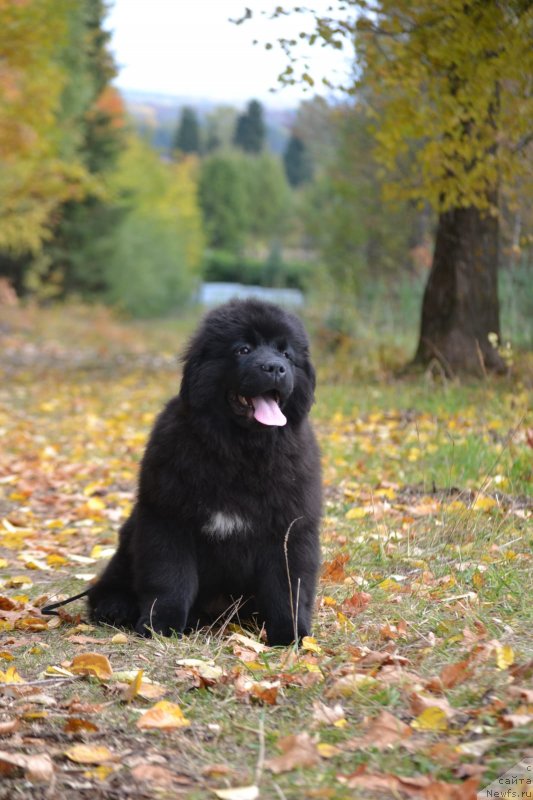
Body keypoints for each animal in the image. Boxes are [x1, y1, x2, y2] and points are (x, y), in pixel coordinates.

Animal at [66, 298, 322, 644]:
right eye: (243, 349)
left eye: (286, 354)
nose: (275, 367)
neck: (240, 452)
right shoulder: (168, 520)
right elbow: (170, 579)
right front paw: (161, 626)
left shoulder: (289, 529)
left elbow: (289, 586)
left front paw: (292, 635)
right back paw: (116, 606)